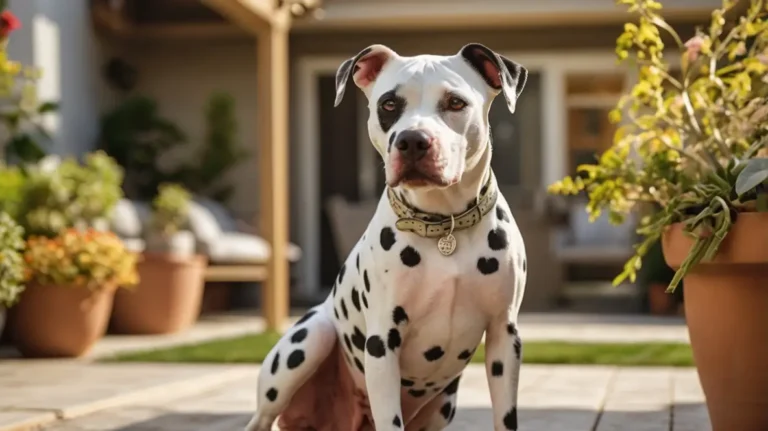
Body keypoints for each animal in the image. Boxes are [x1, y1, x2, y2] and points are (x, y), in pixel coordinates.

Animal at [246, 43, 528, 431]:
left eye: (455, 102)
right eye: (389, 105)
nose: (412, 141)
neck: (444, 224)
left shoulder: (504, 336)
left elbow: (505, 416)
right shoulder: (382, 342)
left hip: (444, 404)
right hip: (306, 344)